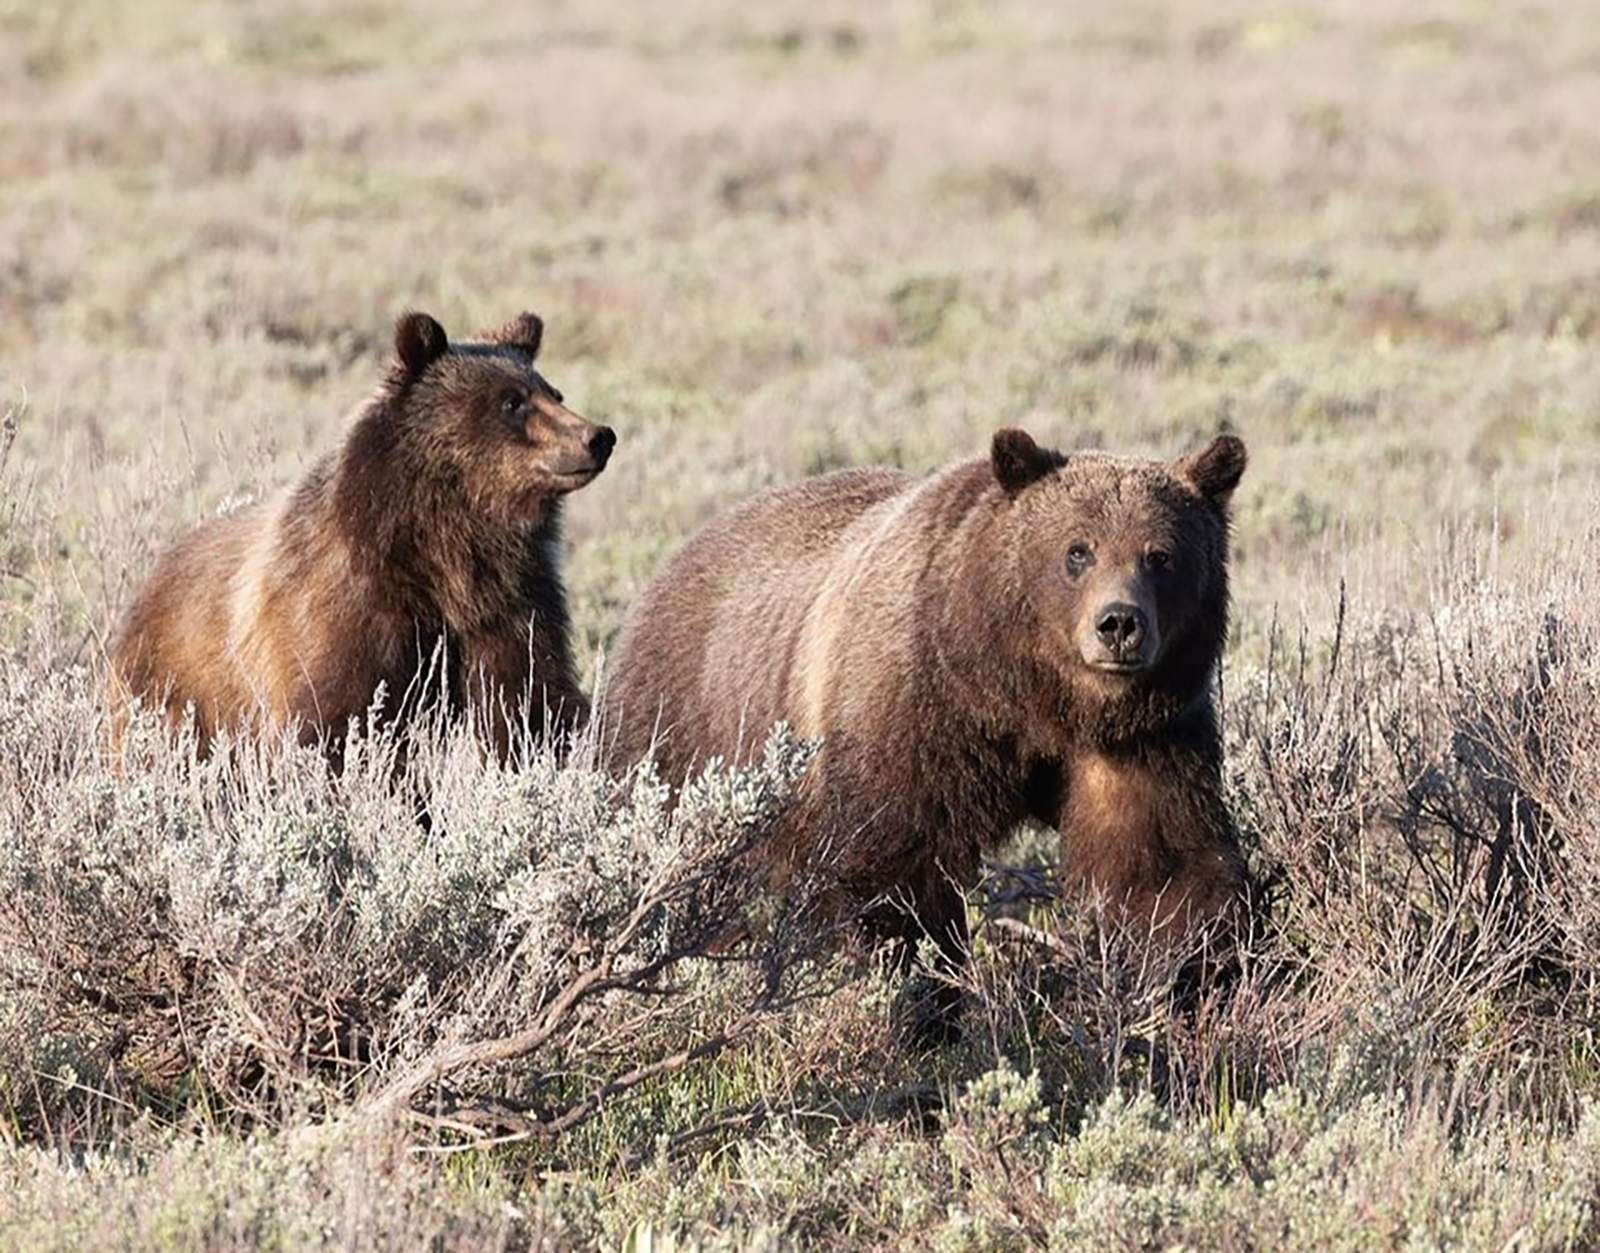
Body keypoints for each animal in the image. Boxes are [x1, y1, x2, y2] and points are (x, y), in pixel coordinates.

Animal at [109, 310, 614, 764]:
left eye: (554, 392)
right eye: (512, 402)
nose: (598, 436)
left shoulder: (508, 609)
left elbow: (529, 705)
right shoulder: (347, 612)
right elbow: (338, 723)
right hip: (172, 684)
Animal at [601, 432, 1248, 1011]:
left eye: (1160, 555)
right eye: (1077, 550)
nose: (1119, 623)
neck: (1030, 697)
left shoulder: (1142, 740)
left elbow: (1161, 863)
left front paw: (1189, 979)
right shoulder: (913, 711)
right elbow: (896, 871)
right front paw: (921, 998)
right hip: (687, 732)